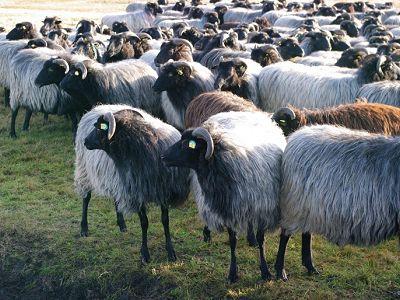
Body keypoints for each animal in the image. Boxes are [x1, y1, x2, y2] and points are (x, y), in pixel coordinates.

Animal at [276, 124, 400, 282]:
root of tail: (297, 136)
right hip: (295, 203)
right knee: (285, 235)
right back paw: (280, 271)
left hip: (310, 205)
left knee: (306, 233)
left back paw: (310, 267)